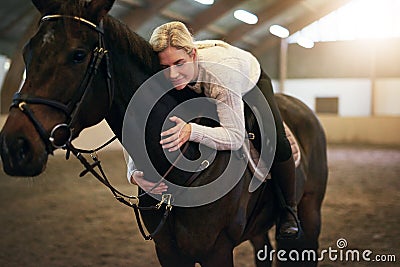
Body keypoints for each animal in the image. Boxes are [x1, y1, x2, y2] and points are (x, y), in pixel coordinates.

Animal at [0, 1, 328, 266]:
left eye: (78, 55)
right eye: (27, 53)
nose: (14, 147)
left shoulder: (217, 250)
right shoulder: (169, 252)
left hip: (310, 214)